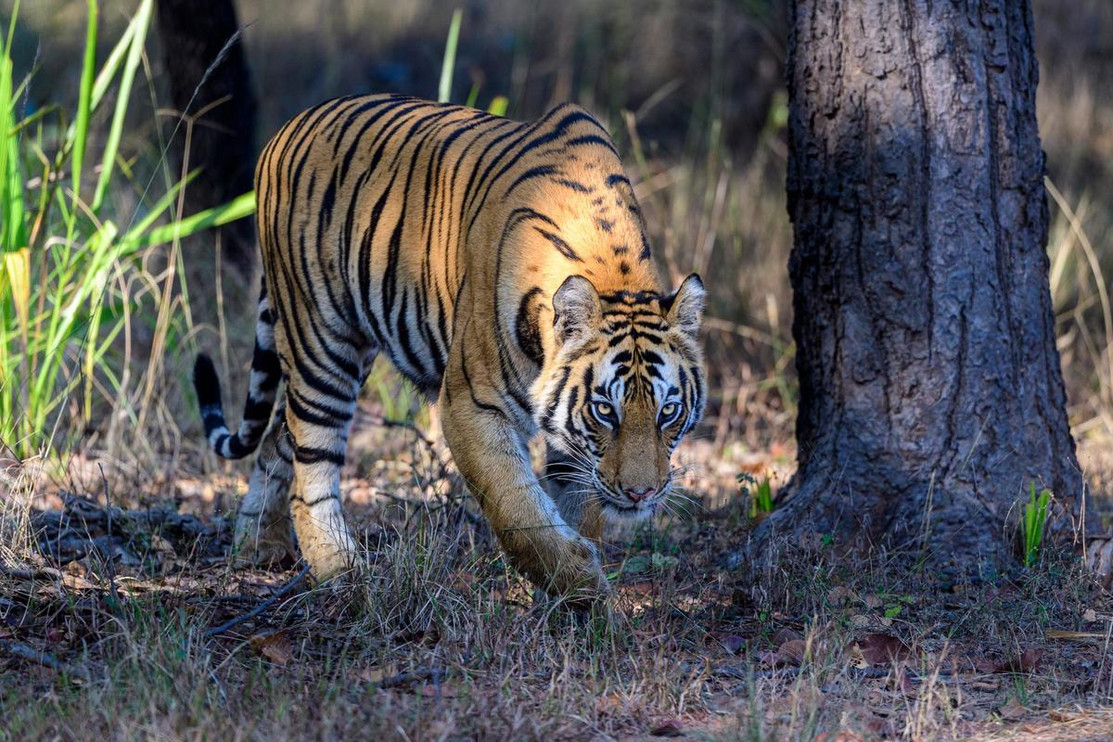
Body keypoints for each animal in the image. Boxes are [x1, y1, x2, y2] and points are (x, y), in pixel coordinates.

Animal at [193, 93, 706, 599]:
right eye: (605, 411)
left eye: (668, 411)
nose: (641, 494)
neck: (612, 273)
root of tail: (285, 130)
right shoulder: (469, 404)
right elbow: (520, 512)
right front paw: (584, 589)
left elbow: (577, 505)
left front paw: (571, 594)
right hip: (320, 342)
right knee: (310, 466)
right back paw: (343, 574)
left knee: (279, 438)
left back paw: (256, 545)